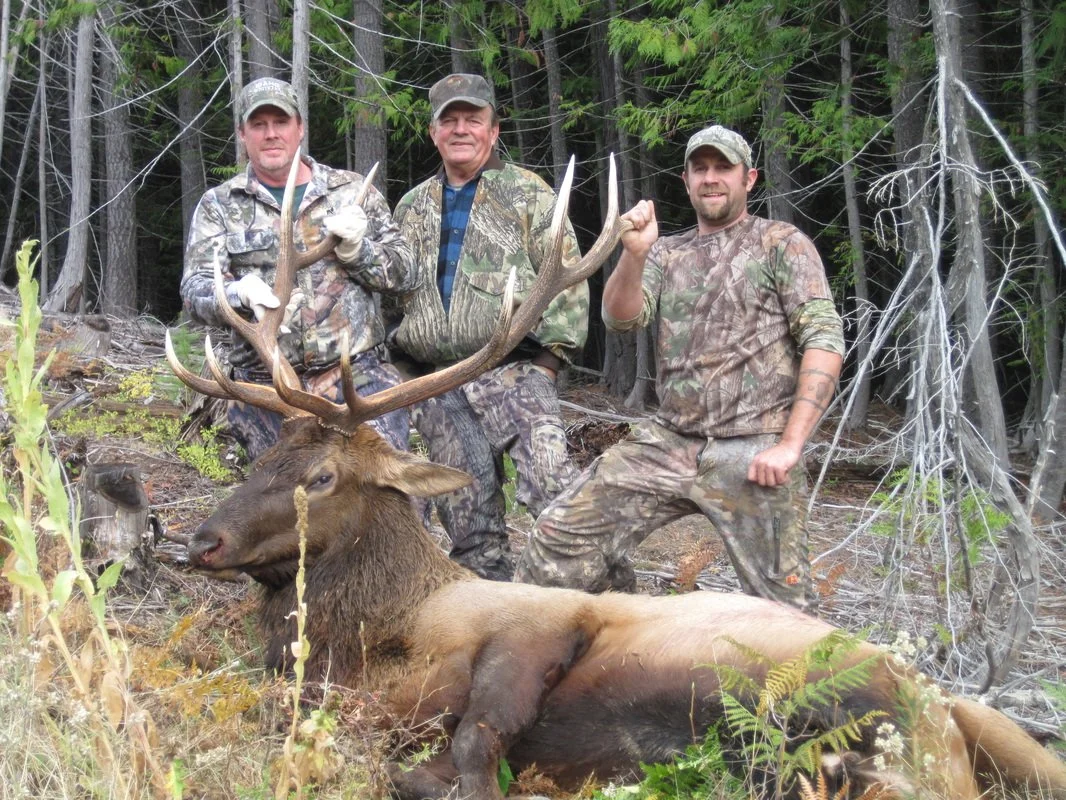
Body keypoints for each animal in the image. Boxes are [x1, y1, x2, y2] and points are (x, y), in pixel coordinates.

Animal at [167, 152, 1066, 800]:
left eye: (320, 476)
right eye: (262, 458)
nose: (198, 542)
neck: (377, 640)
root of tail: (940, 708)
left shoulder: (539, 626)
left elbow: (469, 747)